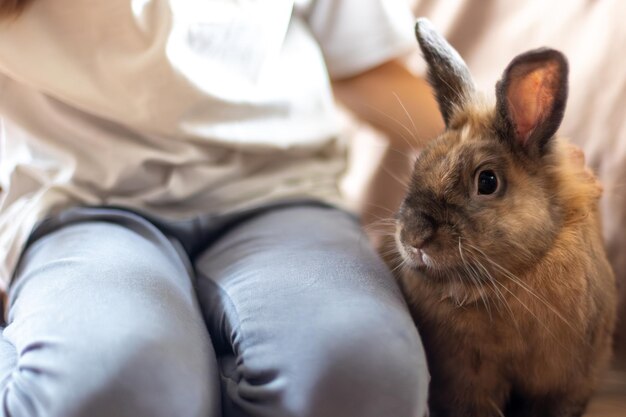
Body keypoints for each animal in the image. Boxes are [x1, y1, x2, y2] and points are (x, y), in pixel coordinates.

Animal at [382, 17, 616, 414]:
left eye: (487, 181)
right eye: (419, 163)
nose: (414, 238)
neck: (508, 280)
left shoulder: (569, 382)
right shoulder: (464, 380)